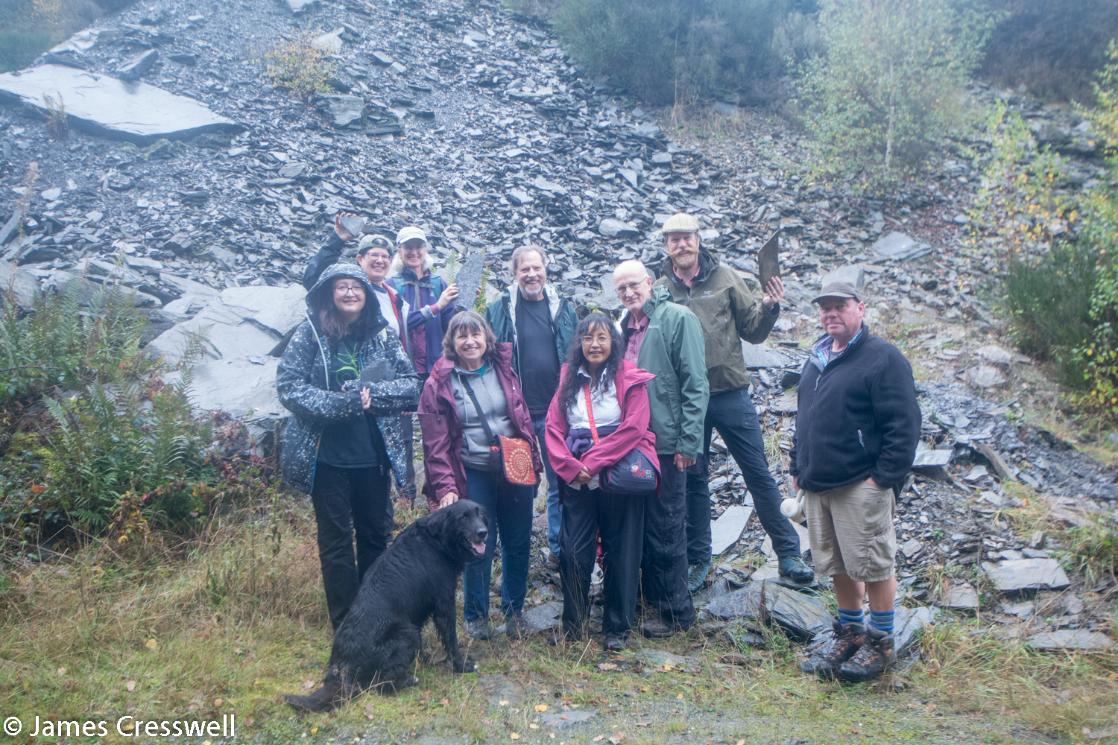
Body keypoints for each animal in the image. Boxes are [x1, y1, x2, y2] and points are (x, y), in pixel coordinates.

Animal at [283, 496, 485, 711]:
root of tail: (342, 665)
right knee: (380, 685)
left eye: (480, 514)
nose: (483, 532)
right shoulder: (444, 603)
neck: (437, 538)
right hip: (408, 633)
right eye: (464, 517)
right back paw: (407, 680)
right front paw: (461, 665)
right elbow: (451, 640)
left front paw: (426, 658)